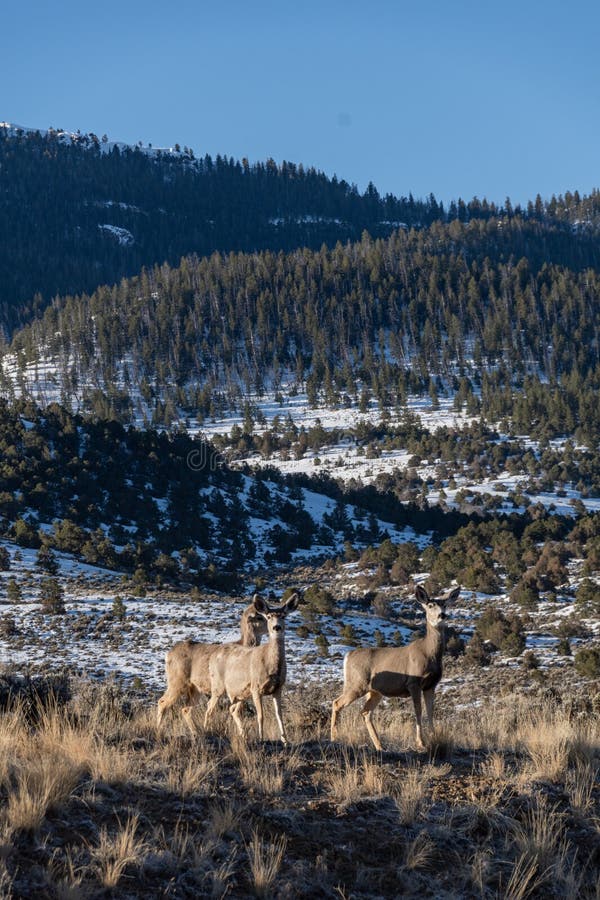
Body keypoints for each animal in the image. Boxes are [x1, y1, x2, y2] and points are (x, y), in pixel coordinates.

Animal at [157, 596, 268, 732]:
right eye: (260, 617)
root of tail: (168, 655)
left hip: (194, 688)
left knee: (185, 709)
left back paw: (196, 732)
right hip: (177, 681)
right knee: (162, 702)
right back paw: (158, 730)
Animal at [205, 592, 300, 744]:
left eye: (284, 616)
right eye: (268, 616)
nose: (277, 627)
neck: (272, 666)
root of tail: (213, 655)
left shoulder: (278, 688)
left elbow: (279, 716)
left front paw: (285, 741)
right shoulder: (256, 687)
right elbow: (261, 715)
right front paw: (261, 739)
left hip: (239, 693)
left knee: (232, 709)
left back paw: (242, 735)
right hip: (218, 685)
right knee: (209, 708)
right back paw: (205, 731)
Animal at [330, 584, 462, 752]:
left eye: (444, 604)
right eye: (430, 605)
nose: (442, 615)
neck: (429, 653)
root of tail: (348, 655)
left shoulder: (431, 685)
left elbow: (430, 712)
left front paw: (434, 738)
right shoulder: (413, 682)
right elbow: (418, 711)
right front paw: (421, 742)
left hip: (374, 691)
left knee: (365, 712)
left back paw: (380, 746)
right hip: (356, 683)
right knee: (337, 703)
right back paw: (334, 739)